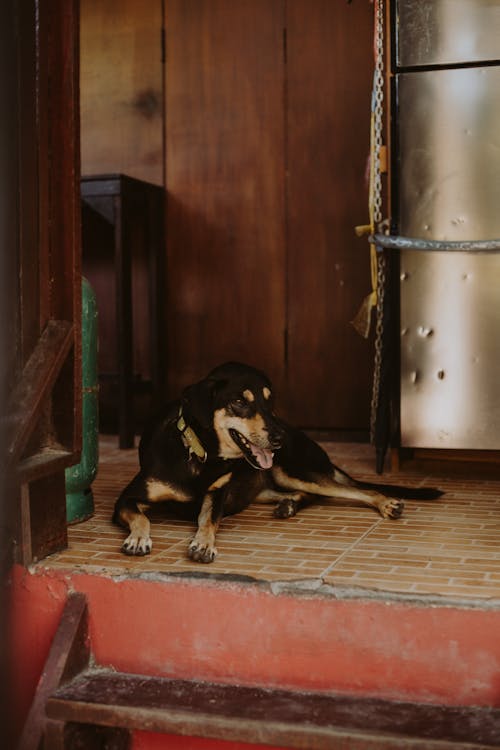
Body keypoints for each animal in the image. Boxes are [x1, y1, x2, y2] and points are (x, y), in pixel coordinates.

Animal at [113, 362, 442, 564]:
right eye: (240, 402)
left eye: (269, 401)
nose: (279, 437)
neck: (200, 453)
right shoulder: (126, 499)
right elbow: (142, 517)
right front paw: (138, 539)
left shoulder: (216, 497)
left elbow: (208, 521)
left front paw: (204, 544)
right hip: (266, 483)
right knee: (306, 494)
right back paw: (288, 505)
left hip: (291, 471)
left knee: (354, 490)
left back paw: (386, 503)